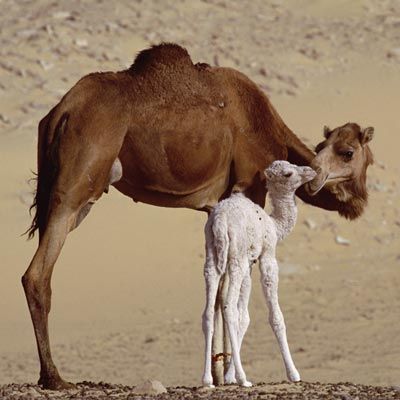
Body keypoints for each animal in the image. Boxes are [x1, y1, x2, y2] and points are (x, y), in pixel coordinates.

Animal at [202, 160, 318, 388]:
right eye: (288, 173)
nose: (311, 171)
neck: (274, 225)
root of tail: (219, 221)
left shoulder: (249, 264)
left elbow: (244, 317)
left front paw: (229, 377)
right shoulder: (266, 256)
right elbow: (275, 316)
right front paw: (293, 373)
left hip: (212, 255)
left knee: (209, 311)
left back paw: (207, 380)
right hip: (235, 257)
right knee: (228, 307)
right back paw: (244, 379)